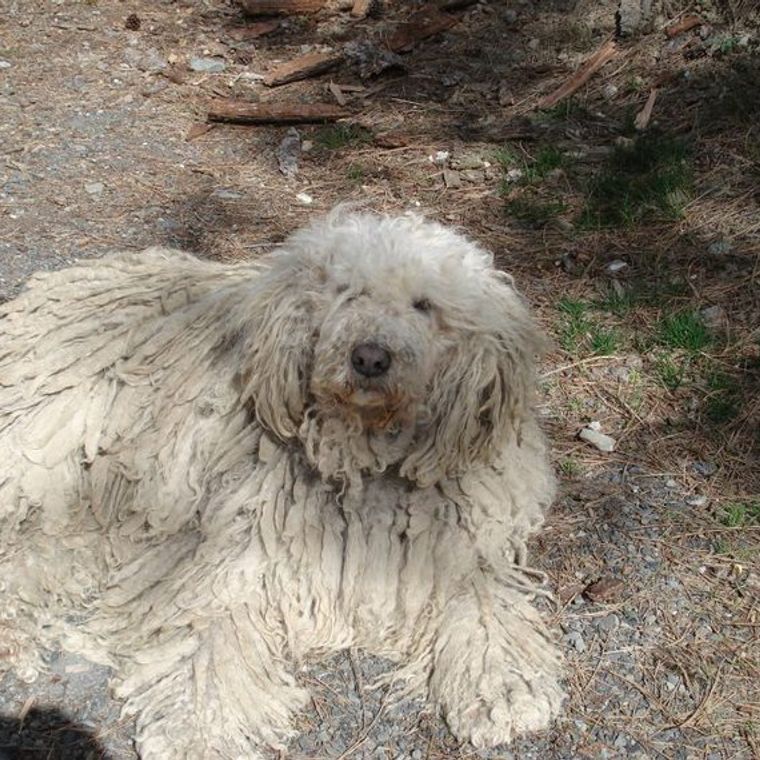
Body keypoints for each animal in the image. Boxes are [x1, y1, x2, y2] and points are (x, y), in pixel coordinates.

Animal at [1, 209, 564, 760]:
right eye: (347, 292)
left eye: (424, 305)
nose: (370, 357)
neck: (362, 455)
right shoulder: (242, 552)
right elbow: (210, 635)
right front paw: (201, 725)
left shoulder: (454, 550)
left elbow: (483, 607)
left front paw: (502, 686)